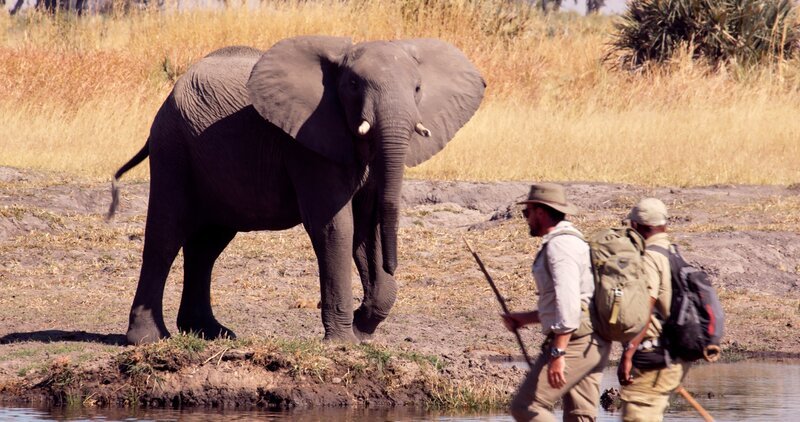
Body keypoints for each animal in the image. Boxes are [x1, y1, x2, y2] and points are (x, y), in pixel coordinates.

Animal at [108, 36, 485, 345]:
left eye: (418, 88)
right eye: (352, 85)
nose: (391, 266)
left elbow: (366, 230)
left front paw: (361, 329)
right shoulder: (307, 142)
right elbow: (336, 227)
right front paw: (344, 342)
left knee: (207, 245)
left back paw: (211, 333)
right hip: (172, 145)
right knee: (166, 234)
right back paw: (148, 339)